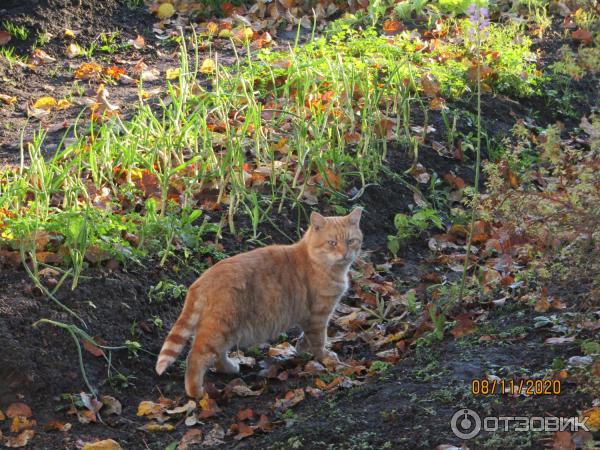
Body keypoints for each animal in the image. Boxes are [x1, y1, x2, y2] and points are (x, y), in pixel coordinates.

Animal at [156, 208, 360, 398]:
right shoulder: (318, 315)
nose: (345, 253)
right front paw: (325, 357)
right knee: (196, 357)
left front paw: (302, 347)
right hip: (220, 328)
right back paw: (195, 391)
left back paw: (230, 368)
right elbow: (319, 340)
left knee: (218, 355)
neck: (317, 261)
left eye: (351, 241)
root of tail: (200, 280)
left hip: (226, 329)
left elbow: (306, 337)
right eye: (332, 243)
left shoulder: (308, 317)